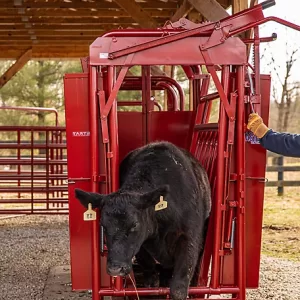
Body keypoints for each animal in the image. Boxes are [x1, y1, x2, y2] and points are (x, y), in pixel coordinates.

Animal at [75, 141, 211, 300]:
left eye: (134, 225)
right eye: (103, 225)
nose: (115, 268)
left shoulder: (188, 238)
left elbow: (179, 286)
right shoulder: (142, 244)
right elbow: (147, 266)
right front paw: (152, 281)